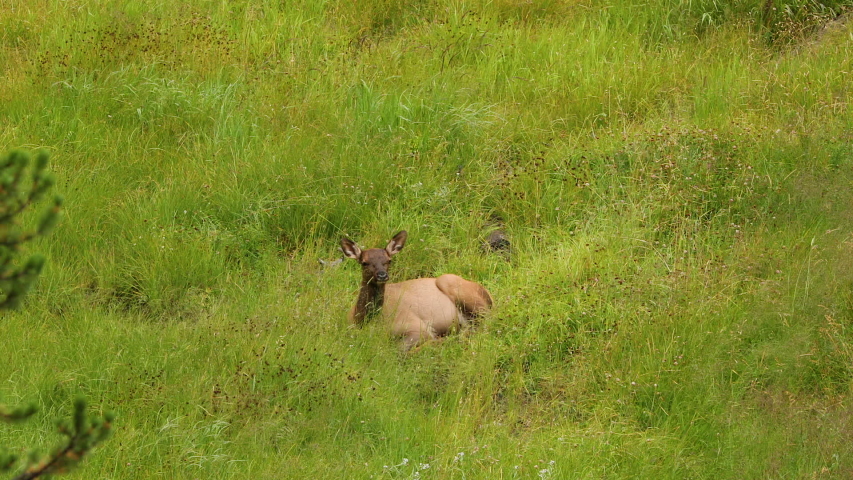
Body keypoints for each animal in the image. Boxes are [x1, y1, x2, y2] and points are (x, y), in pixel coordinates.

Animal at [341, 231, 493, 350]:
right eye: (364, 262)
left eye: (389, 260)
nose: (382, 275)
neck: (361, 321)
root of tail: (487, 293)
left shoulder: (415, 325)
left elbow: (399, 351)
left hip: (451, 283)